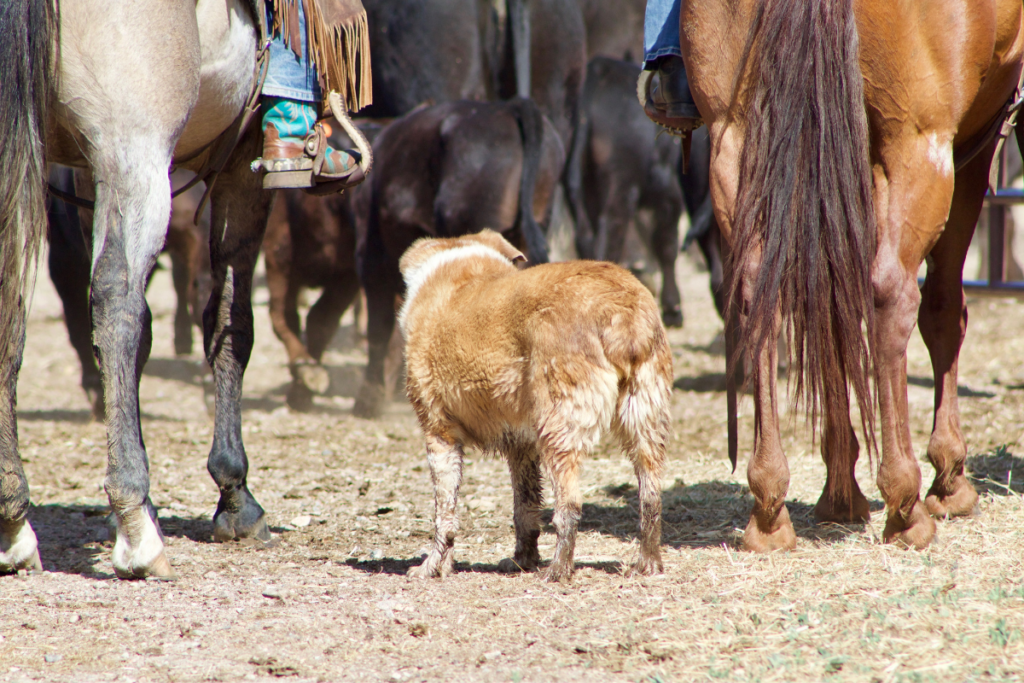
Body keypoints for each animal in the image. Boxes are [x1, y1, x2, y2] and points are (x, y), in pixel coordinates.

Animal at [0, 0, 368, 577]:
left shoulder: (84, 170)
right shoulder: (242, 167)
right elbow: (230, 320)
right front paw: (234, 495)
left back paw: (15, 523)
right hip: (134, 150)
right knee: (116, 300)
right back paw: (136, 531)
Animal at [397, 231, 671, 581]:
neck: (459, 265)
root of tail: (621, 307)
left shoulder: (440, 435)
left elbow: (445, 518)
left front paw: (432, 566)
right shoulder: (521, 446)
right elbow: (525, 510)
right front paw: (521, 560)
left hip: (559, 430)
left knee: (570, 505)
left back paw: (558, 570)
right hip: (645, 422)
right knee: (651, 498)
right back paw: (648, 563)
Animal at [679, 0, 1024, 548]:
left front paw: (840, 488)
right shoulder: (971, 141)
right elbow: (944, 310)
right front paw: (949, 477)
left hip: (733, 136)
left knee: (761, 292)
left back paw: (773, 506)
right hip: (917, 143)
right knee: (893, 296)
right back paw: (905, 503)